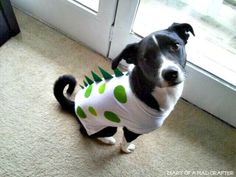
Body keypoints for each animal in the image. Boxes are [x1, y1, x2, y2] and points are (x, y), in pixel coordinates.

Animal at [54, 23, 195, 153]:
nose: (170, 73)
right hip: (107, 127)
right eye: (146, 58)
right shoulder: (133, 130)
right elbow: (126, 142)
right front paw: (126, 150)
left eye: (175, 46)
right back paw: (107, 139)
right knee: (85, 132)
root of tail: (74, 104)